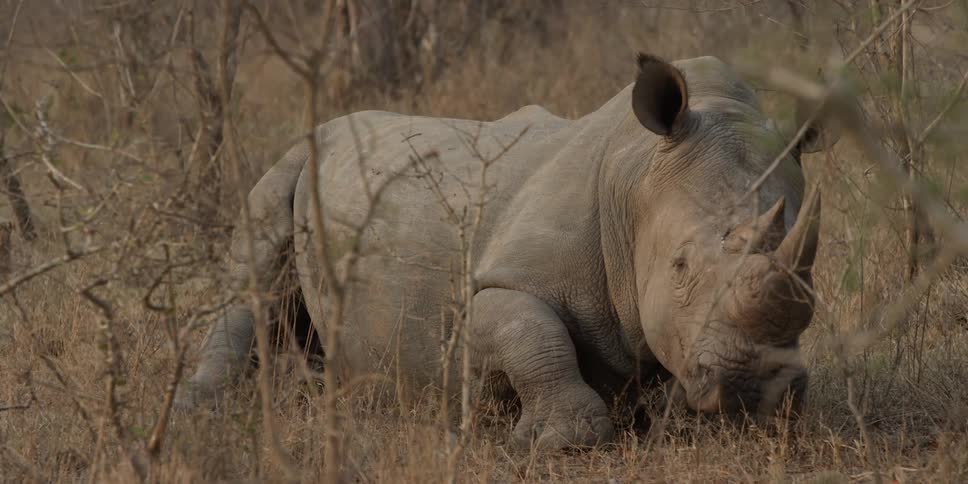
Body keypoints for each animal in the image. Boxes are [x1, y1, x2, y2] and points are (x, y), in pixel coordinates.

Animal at [176, 54, 835, 449]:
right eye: (681, 267)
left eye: (810, 282)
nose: (756, 391)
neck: (635, 179)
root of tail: (327, 127)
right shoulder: (488, 288)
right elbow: (530, 330)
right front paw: (558, 441)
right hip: (293, 160)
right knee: (254, 282)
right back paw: (200, 409)